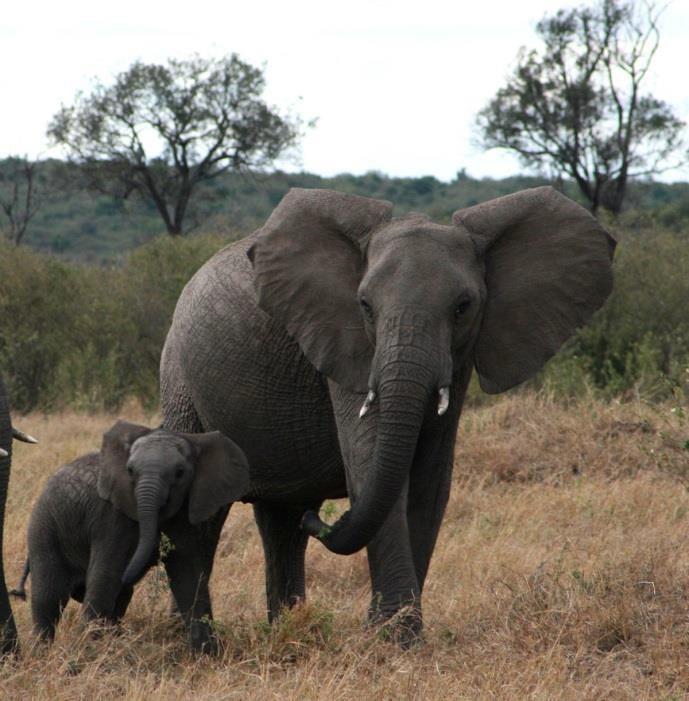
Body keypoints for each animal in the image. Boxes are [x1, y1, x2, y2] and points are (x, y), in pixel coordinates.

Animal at [12, 418, 249, 648]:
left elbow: (188, 574)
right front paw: (85, 650)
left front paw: (206, 653)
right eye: (130, 471)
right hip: (44, 528)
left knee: (119, 598)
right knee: (48, 598)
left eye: (180, 473)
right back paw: (42, 651)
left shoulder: (185, 512)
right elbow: (106, 575)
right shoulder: (111, 517)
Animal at [160, 185, 612, 644]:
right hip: (180, 379)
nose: (322, 523)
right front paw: (395, 637)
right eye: (364, 306)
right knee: (203, 514)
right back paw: (191, 638)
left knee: (282, 520)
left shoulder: (459, 360)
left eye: (463, 307)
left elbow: (430, 481)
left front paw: (397, 633)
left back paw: (286, 626)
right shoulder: (344, 343)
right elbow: (372, 467)